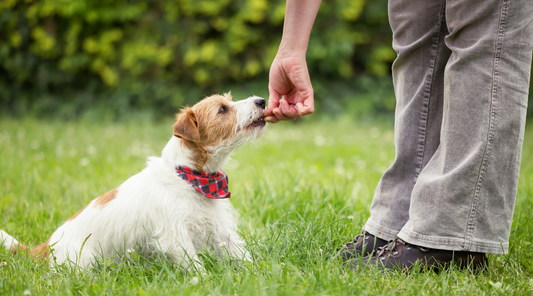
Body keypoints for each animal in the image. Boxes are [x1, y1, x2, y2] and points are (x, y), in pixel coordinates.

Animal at [0, 93, 266, 270]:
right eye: (222, 110)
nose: (262, 101)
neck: (191, 177)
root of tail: (47, 246)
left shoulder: (220, 228)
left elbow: (239, 252)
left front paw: (257, 272)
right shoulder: (176, 236)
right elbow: (194, 266)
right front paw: (204, 282)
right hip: (84, 262)